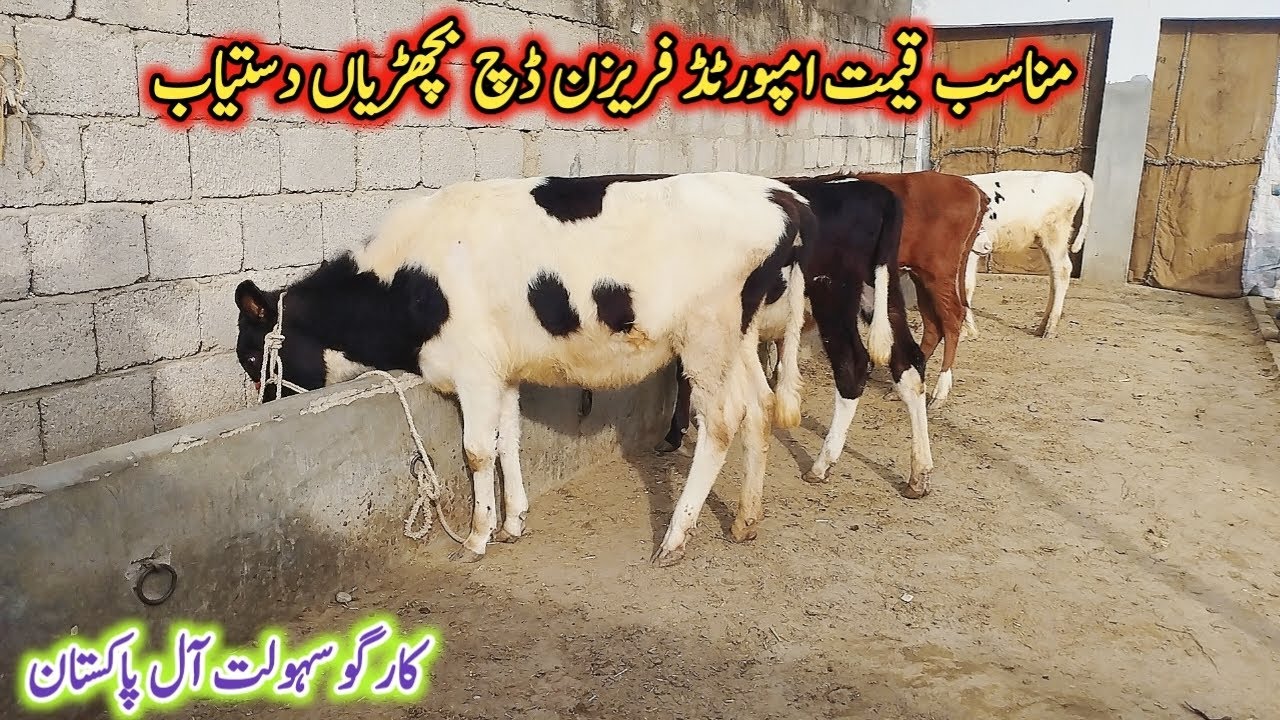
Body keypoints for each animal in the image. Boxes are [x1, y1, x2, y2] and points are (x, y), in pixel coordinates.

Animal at [233, 172, 817, 567]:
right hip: (739, 337)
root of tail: (781, 196)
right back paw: (744, 521)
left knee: (722, 421)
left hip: (707, 337)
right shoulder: (503, 371)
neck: (409, 277)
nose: (270, 404)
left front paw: (476, 537)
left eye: (252, 356)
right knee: (761, 408)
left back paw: (674, 539)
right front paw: (513, 522)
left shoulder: (473, 369)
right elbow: (507, 441)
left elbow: (475, 451)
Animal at [655, 176, 936, 498]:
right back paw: (919, 473)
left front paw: (674, 435)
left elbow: (684, 374)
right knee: (908, 361)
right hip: (881, 291)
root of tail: (870, 189)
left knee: (853, 365)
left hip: (832, 292)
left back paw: (822, 465)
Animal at [963, 170, 1095, 339]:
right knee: (1054, 276)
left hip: (1055, 232)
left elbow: (966, 285)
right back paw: (1042, 326)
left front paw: (967, 330)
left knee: (1062, 270)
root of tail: (1071, 176)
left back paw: (1051, 328)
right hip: (1044, 239)